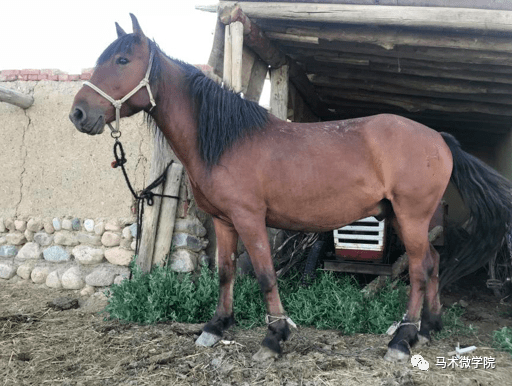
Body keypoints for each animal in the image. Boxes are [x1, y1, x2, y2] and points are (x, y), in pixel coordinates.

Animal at [69, 15, 512, 364]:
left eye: (122, 60)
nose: (78, 113)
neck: (227, 139)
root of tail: (439, 138)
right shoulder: (225, 221)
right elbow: (226, 272)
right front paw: (217, 325)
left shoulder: (251, 219)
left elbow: (265, 275)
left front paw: (274, 337)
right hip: (405, 220)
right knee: (433, 264)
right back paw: (429, 327)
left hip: (412, 216)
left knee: (419, 270)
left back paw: (402, 339)